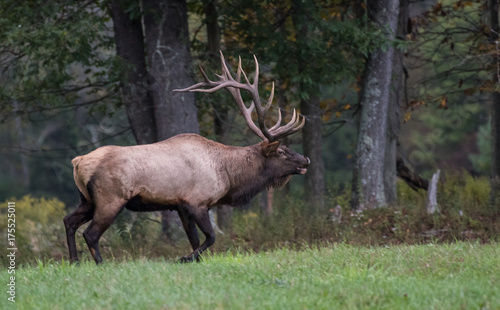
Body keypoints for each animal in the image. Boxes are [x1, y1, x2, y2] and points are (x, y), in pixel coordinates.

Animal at [63, 52, 308, 264]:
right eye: (282, 152)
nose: (306, 160)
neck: (228, 176)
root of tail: (77, 163)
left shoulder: (179, 205)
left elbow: (194, 239)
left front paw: (194, 260)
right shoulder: (197, 201)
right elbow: (210, 237)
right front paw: (185, 257)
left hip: (87, 200)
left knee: (69, 221)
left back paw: (74, 261)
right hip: (110, 199)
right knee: (90, 233)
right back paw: (100, 263)